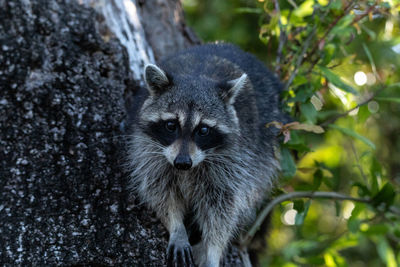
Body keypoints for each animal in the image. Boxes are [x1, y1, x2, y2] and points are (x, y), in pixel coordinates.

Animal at [127, 43, 282, 266]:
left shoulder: (235, 160)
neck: (197, 76)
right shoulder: (148, 149)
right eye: (171, 125)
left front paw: (212, 249)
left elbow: (223, 206)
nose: (182, 163)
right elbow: (159, 189)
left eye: (203, 130)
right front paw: (177, 227)